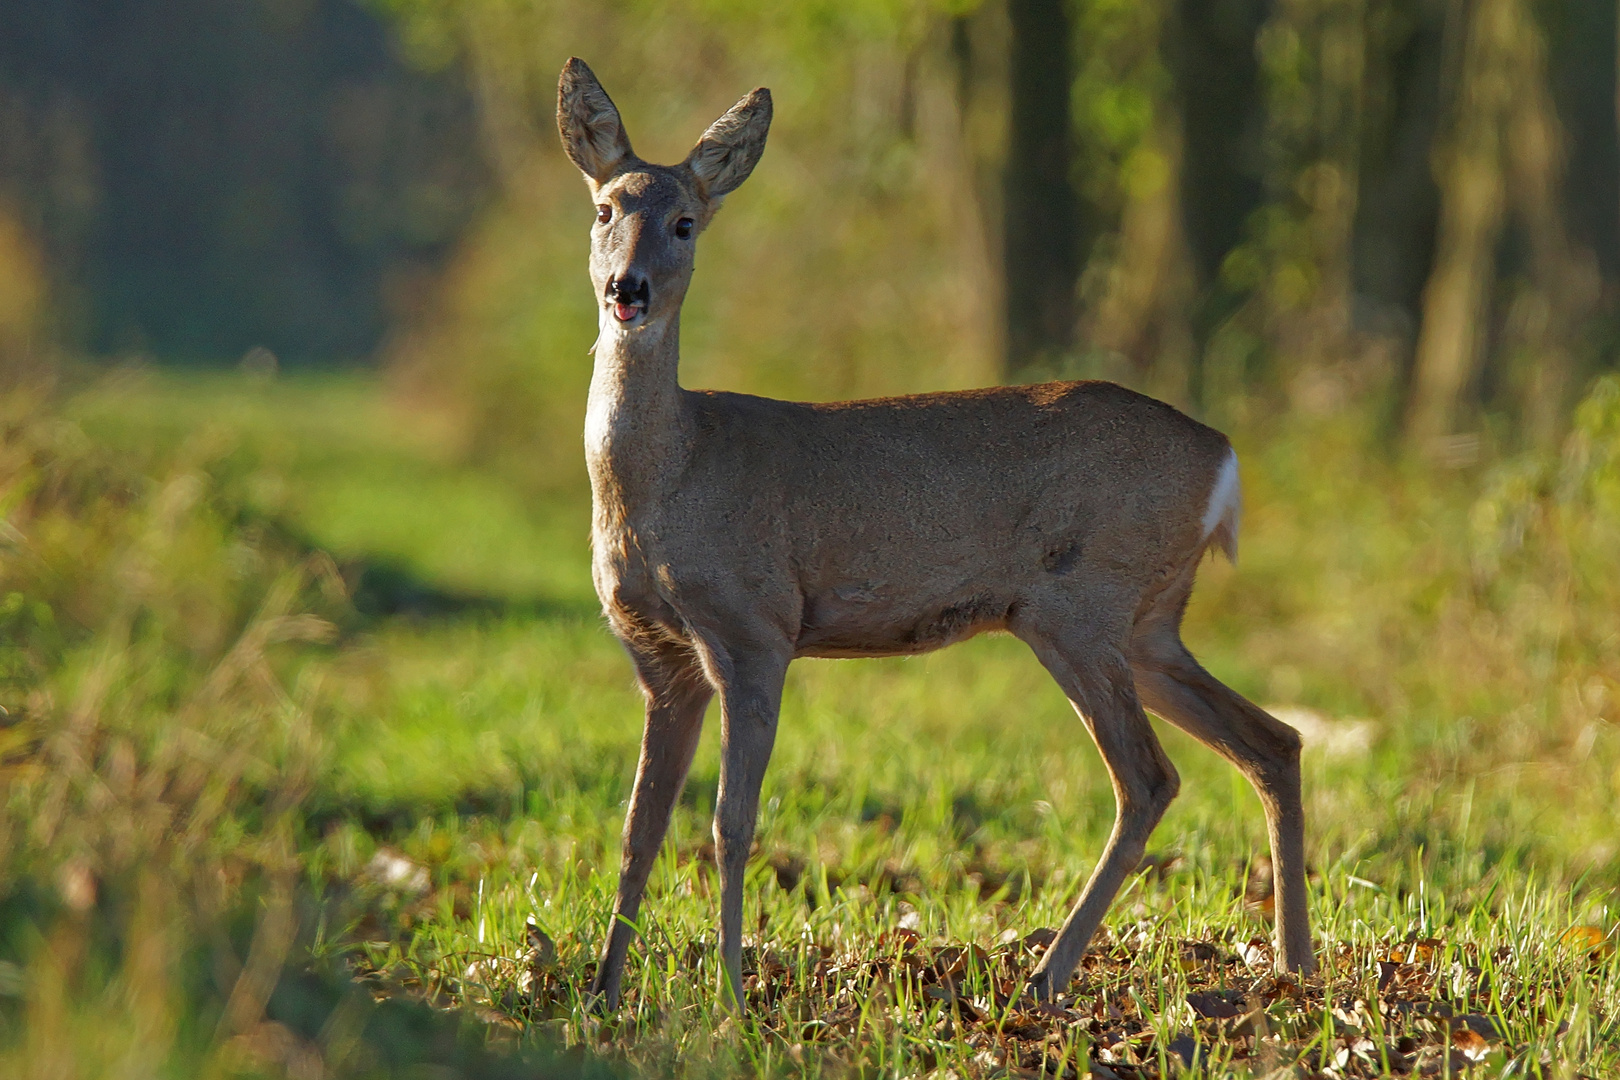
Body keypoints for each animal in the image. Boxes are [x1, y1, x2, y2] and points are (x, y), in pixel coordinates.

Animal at [560, 57, 1315, 1003]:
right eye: (604, 209)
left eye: (685, 222)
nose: (628, 289)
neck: (670, 476)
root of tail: (1224, 459)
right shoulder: (659, 655)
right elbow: (638, 827)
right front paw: (602, 995)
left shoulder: (754, 624)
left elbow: (732, 823)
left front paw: (731, 995)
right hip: (1148, 620)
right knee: (1273, 741)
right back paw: (1293, 965)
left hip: (1080, 602)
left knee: (1150, 777)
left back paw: (1048, 975)